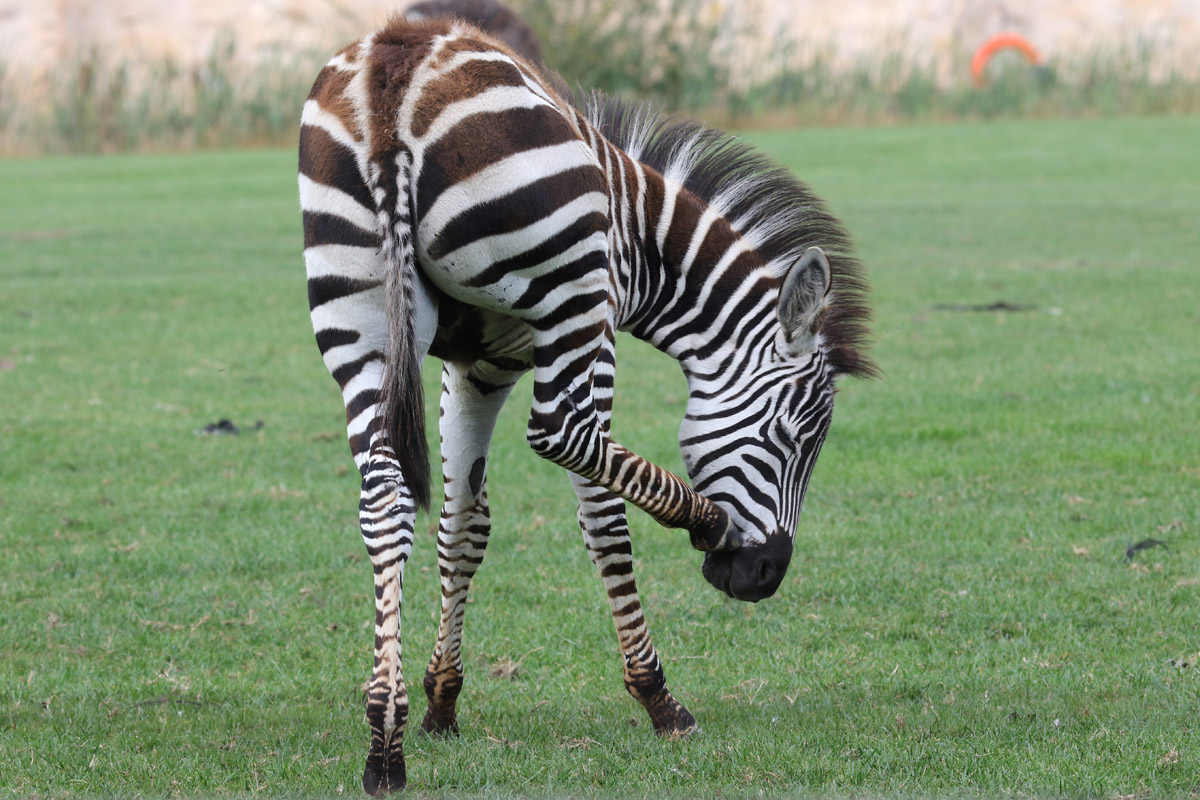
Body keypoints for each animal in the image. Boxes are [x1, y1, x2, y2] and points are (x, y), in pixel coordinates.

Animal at [299, 16, 874, 794]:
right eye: (793, 436)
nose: (764, 578)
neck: (643, 243)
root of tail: (400, 59)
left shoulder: (477, 366)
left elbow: (462, 526)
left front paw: (441, 701)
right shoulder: (585, 330)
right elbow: (601, 516)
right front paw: (658, 697)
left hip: (356, 309)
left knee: (384, 500)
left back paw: (384, 741)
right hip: (568, 299)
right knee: (558, 432)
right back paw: (701, 526)